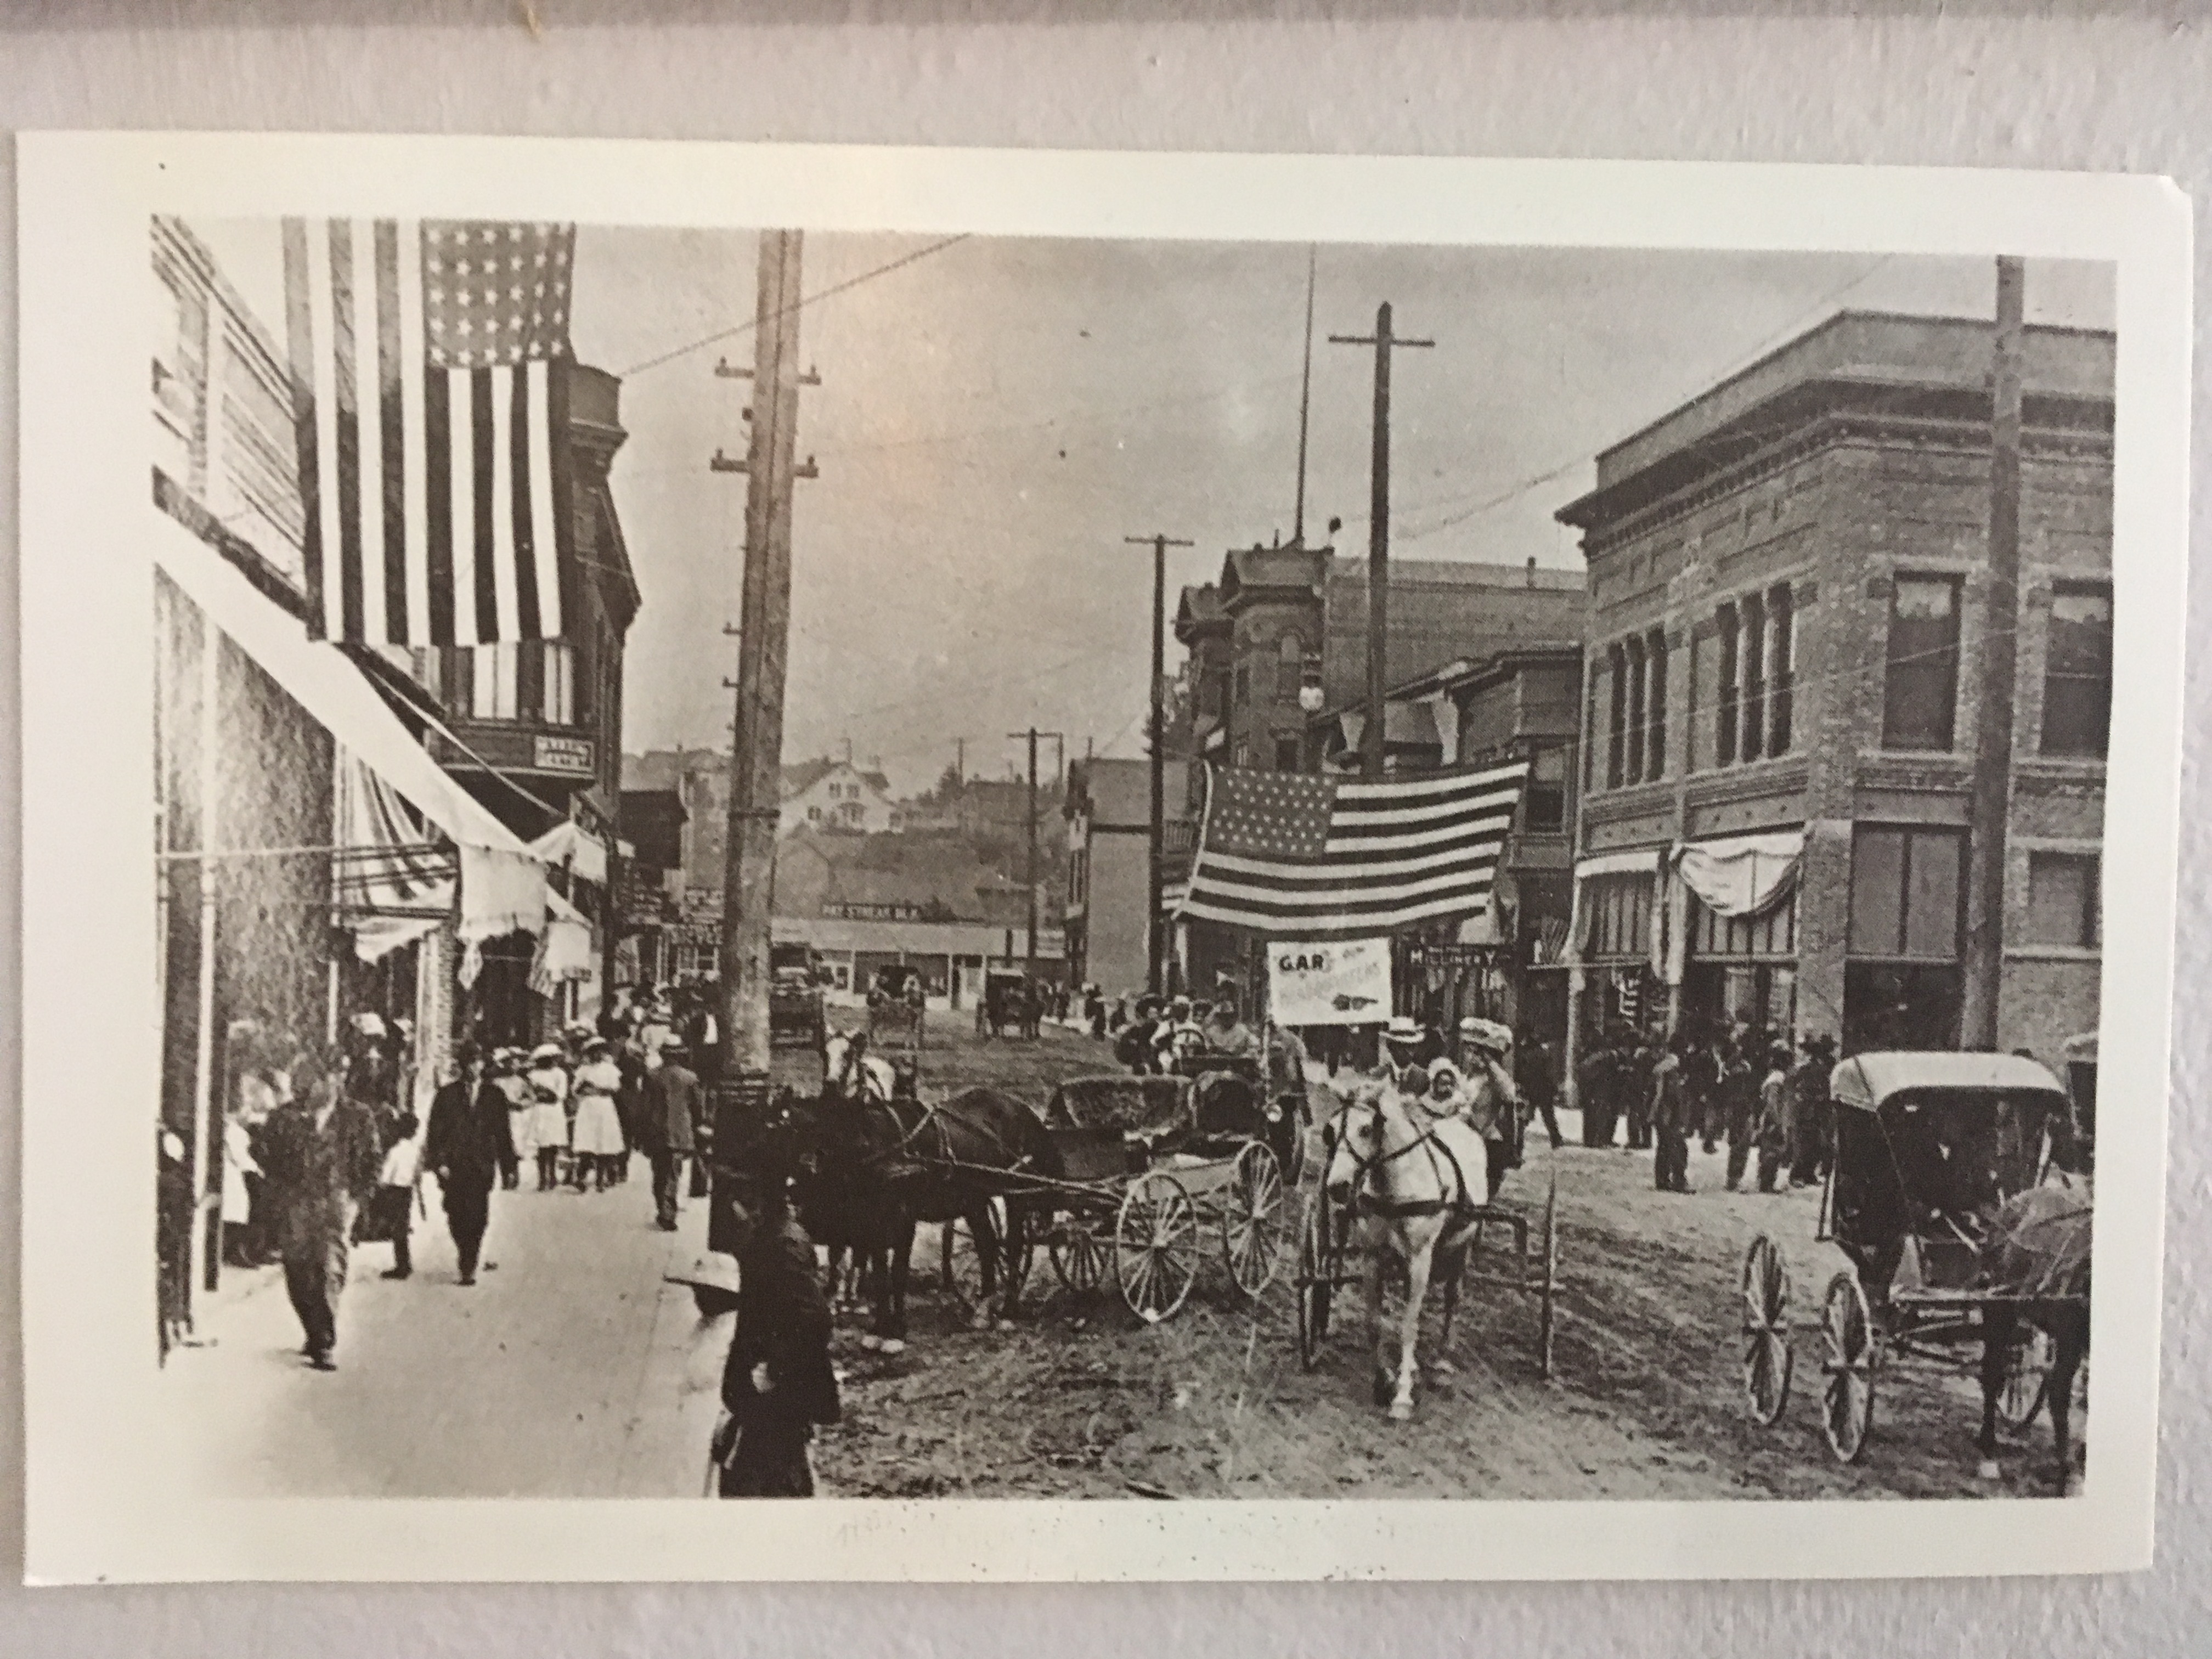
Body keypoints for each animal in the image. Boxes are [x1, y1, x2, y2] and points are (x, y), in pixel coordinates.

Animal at [1325, 1082, 1492, 1420]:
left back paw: (1442, 1364)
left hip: (1461, 1249)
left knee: (1453, 1299)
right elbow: (1374, 1322)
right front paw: (1384, 1381)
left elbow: (1408, 1325)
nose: (1337, 1187)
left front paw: (1402, 1397)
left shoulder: (1420, 1258)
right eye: (1331, 1129)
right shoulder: (1373, 1256)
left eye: (1366, 1128)